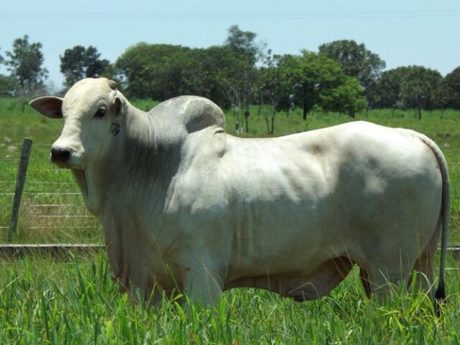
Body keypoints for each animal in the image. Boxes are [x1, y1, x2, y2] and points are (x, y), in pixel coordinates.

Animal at [29, 78, 450, 310]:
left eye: (100, 110)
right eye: (64, 112)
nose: (61, 151)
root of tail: (411, 134)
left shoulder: (201, 273)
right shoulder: (147, 282)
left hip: (388, 271)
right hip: (417, 266)